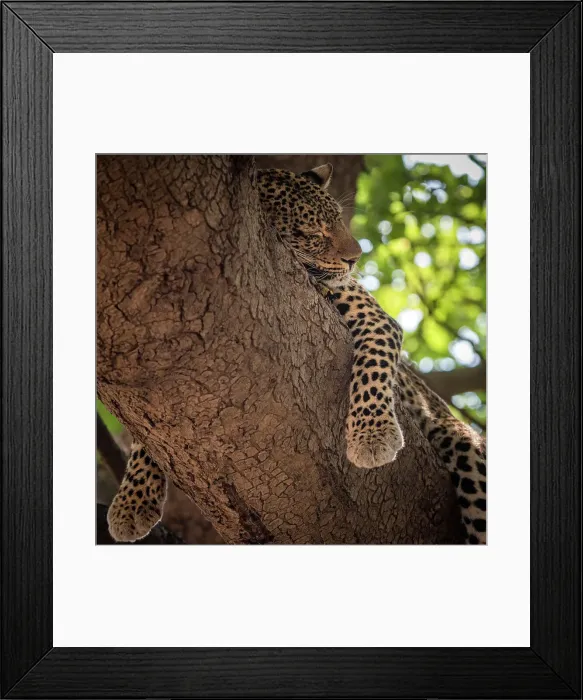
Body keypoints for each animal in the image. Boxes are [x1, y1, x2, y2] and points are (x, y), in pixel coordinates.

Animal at [106, 163, 486, 544]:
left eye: (339, 221)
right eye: (312, 231)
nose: (356, 258)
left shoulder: (377, 320)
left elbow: (372, 368)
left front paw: (372, 435)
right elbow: (146, 431)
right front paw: (132, 501)